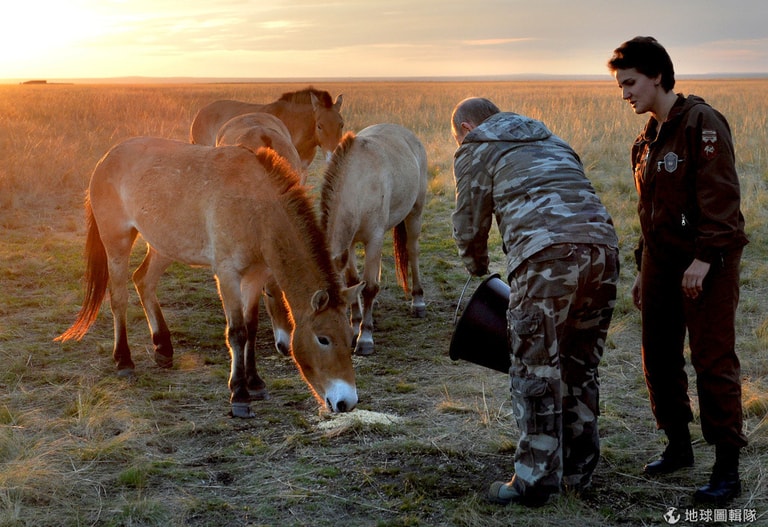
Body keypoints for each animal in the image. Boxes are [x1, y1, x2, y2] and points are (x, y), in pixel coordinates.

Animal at [57, 138, 364, 418]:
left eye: (350, 338)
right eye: (323, 339)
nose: (346, 402)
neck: (256, 208)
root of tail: (106, 158)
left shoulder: (255, 276)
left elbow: (251, 327)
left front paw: (255, 382)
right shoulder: (227, 275)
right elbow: (237, 332)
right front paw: (239, 394)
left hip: (164, 245)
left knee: (143, 280)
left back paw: (163, 347)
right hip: (117, 241)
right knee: (119, 297)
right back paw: (123, 361)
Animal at [316, 121, 426, 356]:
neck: (358, 185)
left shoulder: (373, 239)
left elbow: (368, 288)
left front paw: (365, 337)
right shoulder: (348, 245)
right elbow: (353, 281)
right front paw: (355, 325)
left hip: (415, 212)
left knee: (412, 251)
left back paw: (418, 301)